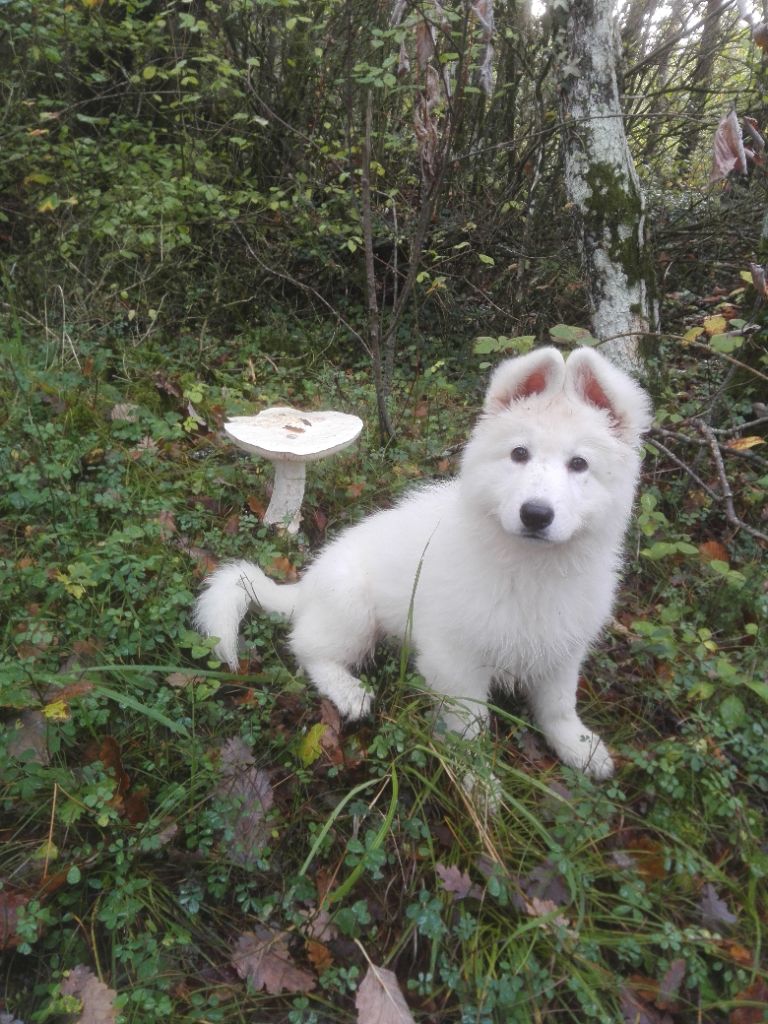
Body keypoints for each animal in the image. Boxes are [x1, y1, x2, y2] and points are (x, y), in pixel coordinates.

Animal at [195, 348, 651, 778]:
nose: (535, 515)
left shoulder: (562, 650)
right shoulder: (455, 663)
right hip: (353, 611)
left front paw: (579, 747)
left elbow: (558, 707)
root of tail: (304, 586)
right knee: (306, 649)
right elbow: (470, 732)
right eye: (519, 453)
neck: (529, 567)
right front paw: (480, 788)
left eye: (579, 464)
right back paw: (347, 691)